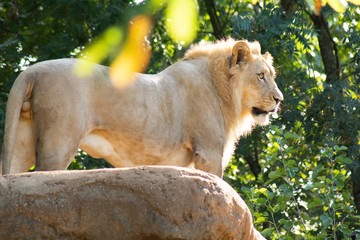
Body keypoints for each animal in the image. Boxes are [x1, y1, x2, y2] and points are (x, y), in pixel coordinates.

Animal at [0, 39, 282, 177]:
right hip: (58, 143)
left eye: (271, 75)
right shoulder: (208, 152)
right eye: (260, 76)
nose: (279, 99)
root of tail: (32, 69)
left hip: (24, 142)